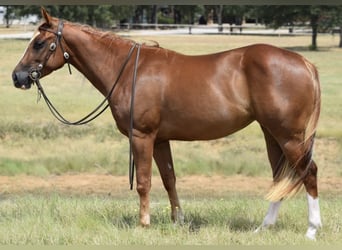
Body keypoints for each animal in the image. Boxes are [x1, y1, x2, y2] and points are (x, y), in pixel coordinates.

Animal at [10, 8, 320, 239]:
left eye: (38, 43)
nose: (17, 76)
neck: (126, 69)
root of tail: (304, 63)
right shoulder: (160, 140)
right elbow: (169, 179)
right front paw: (178, 220)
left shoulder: (142, 136)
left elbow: (144, 182)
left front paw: (143, 223)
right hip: (272, 134)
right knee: (280, 176)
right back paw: (264, 227)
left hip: (290, 137)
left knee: (308, 172)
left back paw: (312, 230)